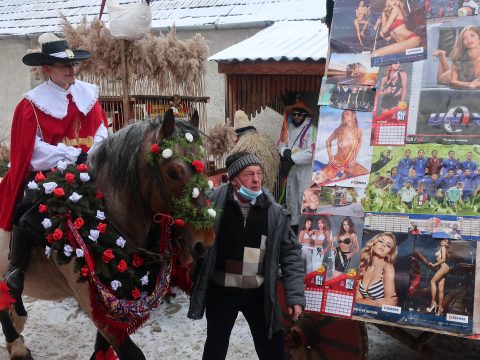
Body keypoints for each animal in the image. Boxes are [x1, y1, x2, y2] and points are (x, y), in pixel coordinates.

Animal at [0, 110, 215, 360]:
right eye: (172, 173)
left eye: (204, 167)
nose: (204, 242)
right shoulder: (88, 299)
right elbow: (131, 353)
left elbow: (101, 348)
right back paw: (16, 344)